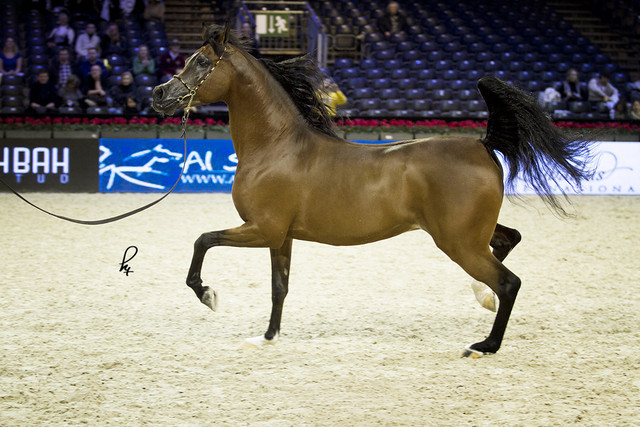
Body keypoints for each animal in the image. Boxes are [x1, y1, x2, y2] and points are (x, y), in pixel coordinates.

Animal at [151, 23, 592, 357]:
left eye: (202, 61)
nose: (159, 95)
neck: (276, 147)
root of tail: (482, 145)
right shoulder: (280, 236)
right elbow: (280, 288)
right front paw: (267, 337)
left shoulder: (263, 229)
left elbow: (202, 241)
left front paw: (208, 295)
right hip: (469, 234)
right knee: (508, 241)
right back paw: (481, 298)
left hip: (458, 241)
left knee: (509, 282)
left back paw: (484, 345)